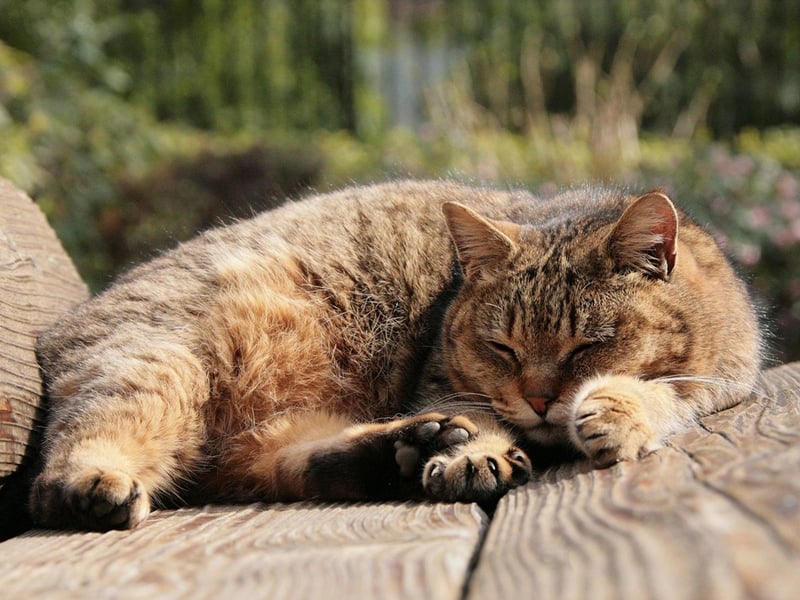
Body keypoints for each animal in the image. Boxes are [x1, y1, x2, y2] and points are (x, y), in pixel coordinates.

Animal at [28, 179, 760, 528]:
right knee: (69, 462)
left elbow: (666, 391)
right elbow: (477, 412)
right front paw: (476, 453)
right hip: (157, 363)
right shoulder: (446, 381)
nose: (541, 399)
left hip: (261, 434)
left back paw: (399, 450)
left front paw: (616, 408)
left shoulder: (726, 378)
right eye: (501, 346)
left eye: (589, 343)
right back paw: (91, 484)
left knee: (292, 461)